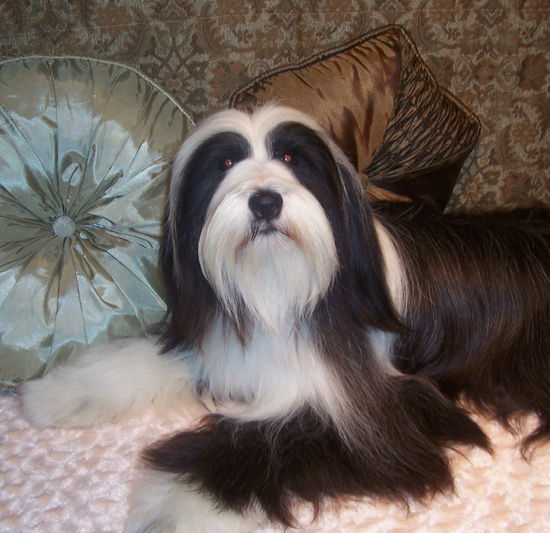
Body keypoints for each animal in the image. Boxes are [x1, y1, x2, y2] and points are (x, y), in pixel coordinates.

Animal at [22, 105, 550, 532]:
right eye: (226, 163)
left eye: (293, 160)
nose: (265, 201)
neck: (276, 286)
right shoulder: (221, 345)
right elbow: (138, 360)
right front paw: (57, 393)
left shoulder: (386, 415)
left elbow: (265, 442)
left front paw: (171, 509)